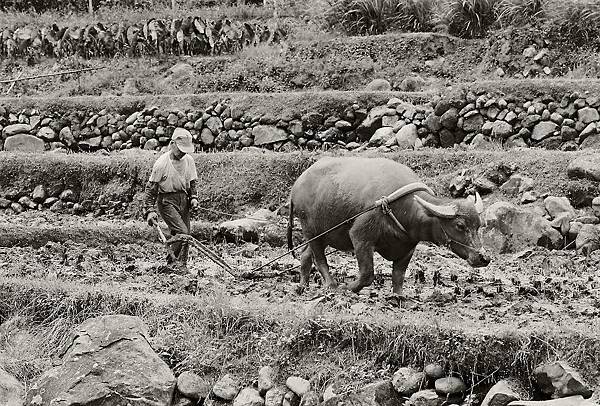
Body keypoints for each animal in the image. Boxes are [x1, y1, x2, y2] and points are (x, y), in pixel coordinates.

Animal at [288, 156, 490, 294]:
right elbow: (367, 274)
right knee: (319, 258)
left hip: (320, 234)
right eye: (460, 225)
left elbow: (399, 276)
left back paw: (302, 286)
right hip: (310, 229)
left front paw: (398, 296)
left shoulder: (408, 246)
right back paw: (332, 285)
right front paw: (348, 287)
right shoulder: (360, 236)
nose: (484, 258)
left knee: (306, 255)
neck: (406, 210)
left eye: (479, 226)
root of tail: (296, 186)